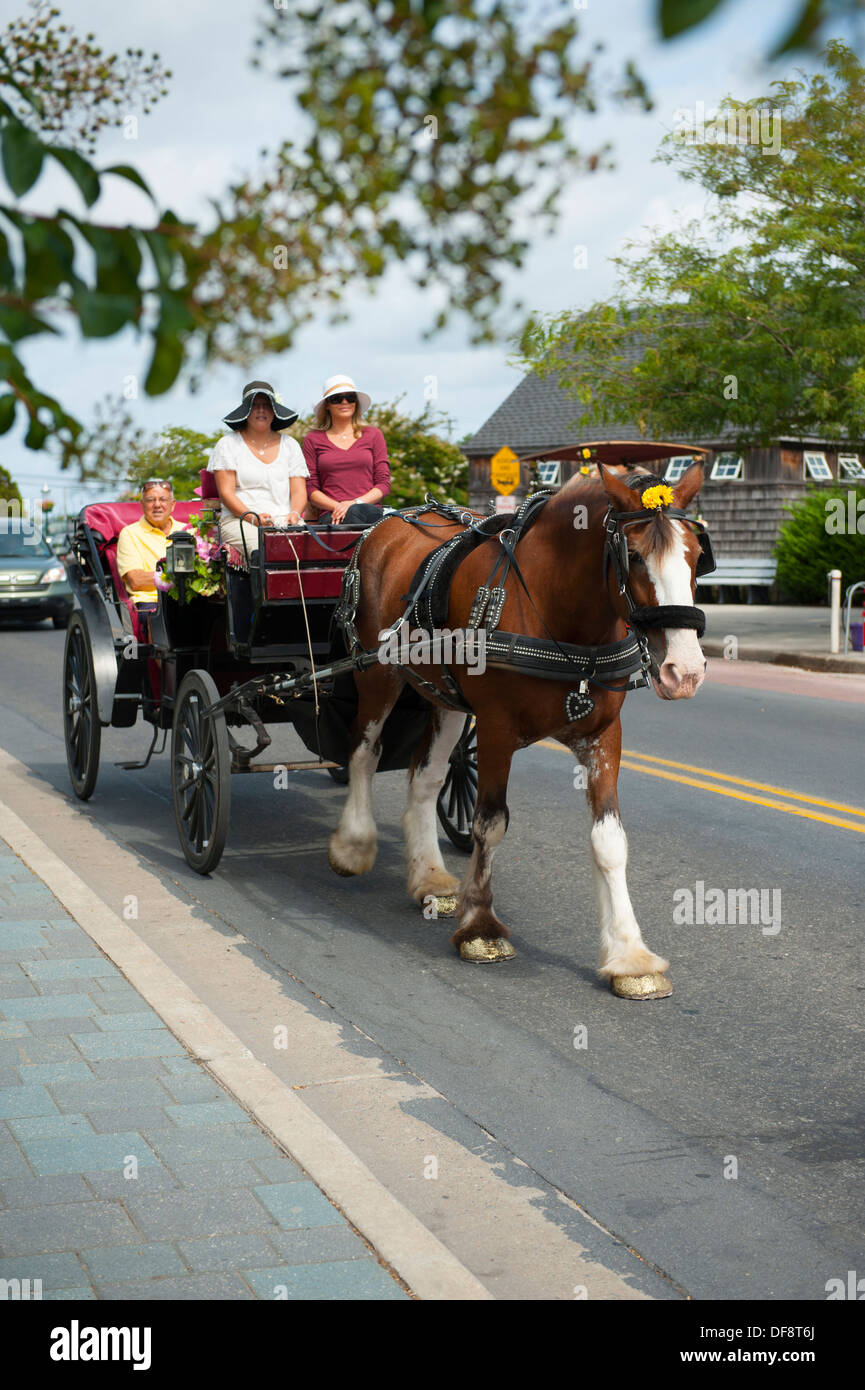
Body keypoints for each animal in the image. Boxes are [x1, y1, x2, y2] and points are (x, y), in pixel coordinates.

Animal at [327, 462, 709, 999]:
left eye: (695, 555)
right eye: (633, 556)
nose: (685, 671)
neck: (561, 617)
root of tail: (389, 521)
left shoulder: (604, 736)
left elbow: (610, 841)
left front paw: (629, 955)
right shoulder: (496, 729)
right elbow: (490, 824)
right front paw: (480, 929)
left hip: (443, 695)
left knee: (424, 777)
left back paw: (430, 877)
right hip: (376, 674)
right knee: (364, 752)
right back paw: (354, 844)